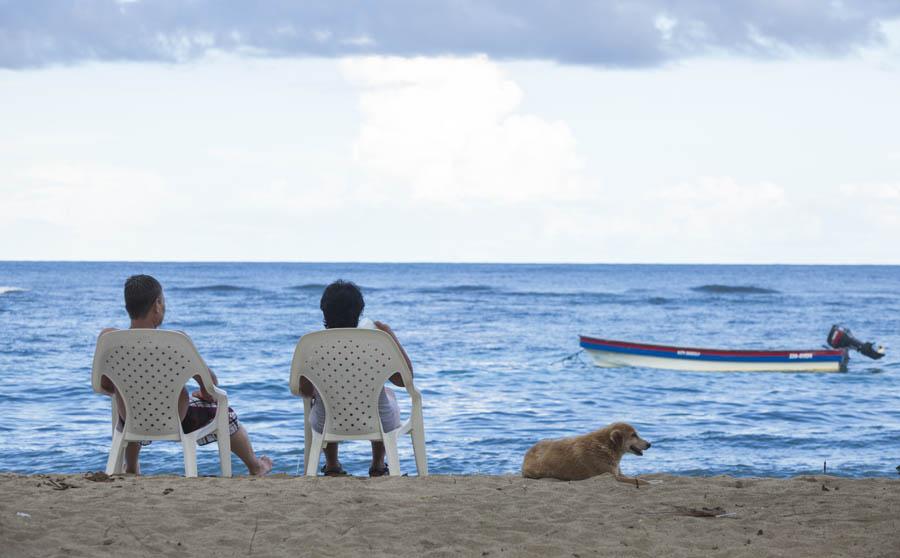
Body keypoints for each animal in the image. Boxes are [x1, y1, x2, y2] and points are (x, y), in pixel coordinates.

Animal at [520, 424, 652, 486]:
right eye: (633, 435)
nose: (649, 444)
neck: (607, 447)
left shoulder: (618, 473)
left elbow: (638, 478)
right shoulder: (610, 475)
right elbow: (640, 481)